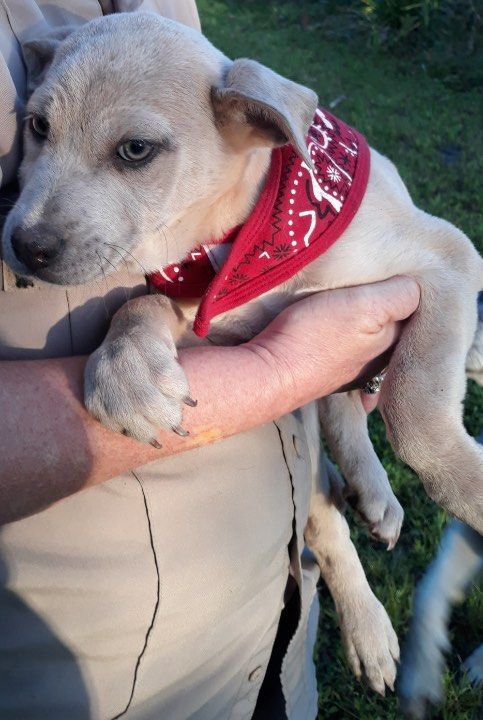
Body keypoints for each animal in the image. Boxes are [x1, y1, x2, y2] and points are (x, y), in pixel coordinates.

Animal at [1, 11, 482, 696]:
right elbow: (138, 306)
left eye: (135, 150)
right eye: (39, 126)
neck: (242, 243)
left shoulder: (445, 256)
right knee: (325, 489)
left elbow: (416, 411)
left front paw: (471, 489)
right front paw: (128, 372)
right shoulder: (210, 317)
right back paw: (368, 599)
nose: (25, 246)